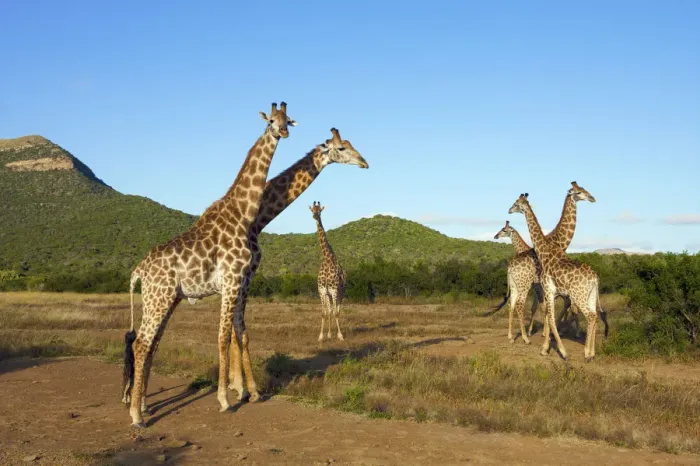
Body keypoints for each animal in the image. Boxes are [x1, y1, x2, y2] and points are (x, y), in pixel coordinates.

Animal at [121, 102, 296, 427]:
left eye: (287, 119)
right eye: (270, 121)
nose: (283, 131)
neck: (242, 212)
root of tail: (139, 271)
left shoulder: (238, 282)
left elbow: (235, 334)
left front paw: (243, 393)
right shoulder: (232, 279)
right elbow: (224, 336)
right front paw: (226, 400)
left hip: (160, 299)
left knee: (148, 344)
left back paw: (143, 407)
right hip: (159, 298)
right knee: (141, 344)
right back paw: (137, 415)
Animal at [310, 201, 347, 341]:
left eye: (320, 210)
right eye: (312, 210)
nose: (315, 216)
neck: (326, 260)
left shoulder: (334, 290)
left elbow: (335, 313)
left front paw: (340, 336)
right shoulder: (322, 291)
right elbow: (324, 313)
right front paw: (321, 336)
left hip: (341, 292)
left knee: (337, 310)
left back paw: (336, 333)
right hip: (329, 295)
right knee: (330, 310)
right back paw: (330, 334)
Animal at [509, 192, 609, 361]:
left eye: (516, 203)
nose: (509, 210)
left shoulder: (550, 290)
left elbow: (550, 314)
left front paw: (552, 346)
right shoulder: (549, 290)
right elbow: (550, 314)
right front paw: (549, 344)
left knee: (591, 315)